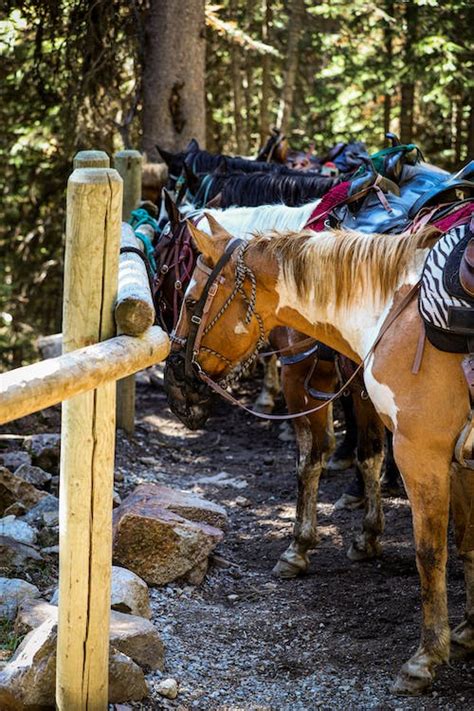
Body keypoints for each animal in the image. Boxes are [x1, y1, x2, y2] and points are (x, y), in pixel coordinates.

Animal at [165, 218, 472, 696]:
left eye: (192, 300)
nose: (173, 377)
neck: (397, 313)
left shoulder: (418, 450)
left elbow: (428, 550)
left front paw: (426, 657)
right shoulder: (454, 458)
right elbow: (464, 542)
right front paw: (467, 633)